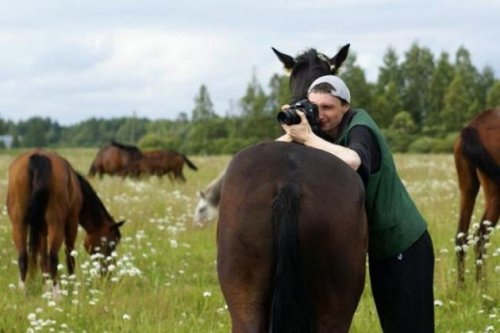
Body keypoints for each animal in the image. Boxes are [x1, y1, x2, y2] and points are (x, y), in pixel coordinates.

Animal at [7, 148, 125, 294]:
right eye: (111, 243)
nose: (107, 273)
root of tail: (38, 157)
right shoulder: (71, 222)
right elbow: (69, 255)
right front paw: (72, 284)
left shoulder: (41, 229)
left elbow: (42, 258)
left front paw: (45, 286)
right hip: (56, 224)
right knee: (53, 258)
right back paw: (57, 294)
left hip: (18, 223)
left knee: (23, 257)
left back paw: (24, 291)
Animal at [454, 108, 500, 282]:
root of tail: (474, 125)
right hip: (495, 194)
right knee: (480, 238)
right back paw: (482, 286)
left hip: (467, 188)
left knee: (461, 236)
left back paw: (462, 285)